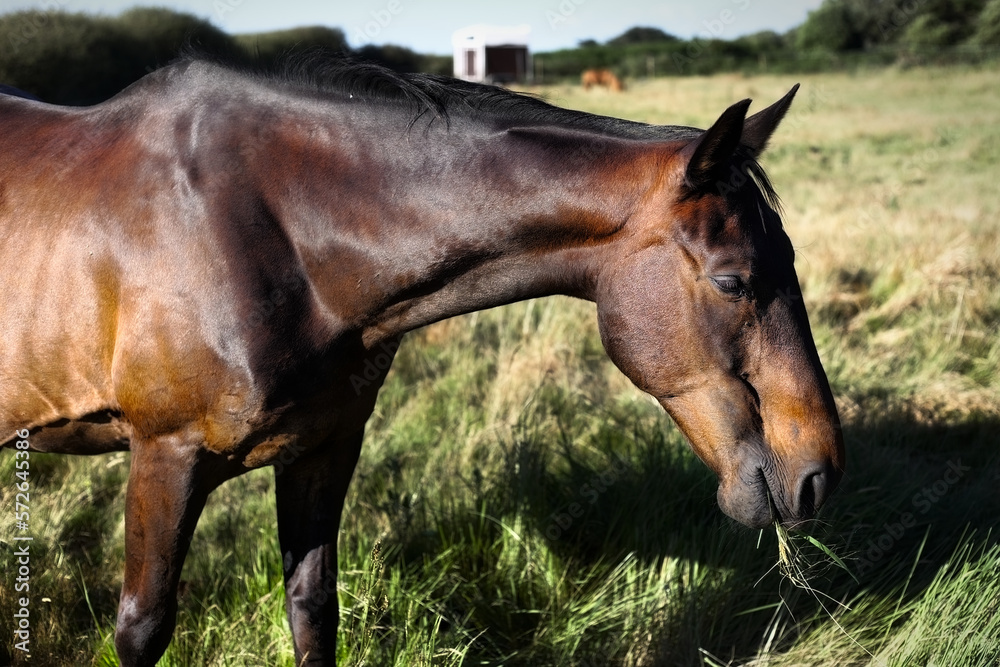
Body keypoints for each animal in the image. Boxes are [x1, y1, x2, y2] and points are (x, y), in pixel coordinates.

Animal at [0, 57, 844, 665]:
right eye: (733, 280)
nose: (818, 474)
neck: (274, 232)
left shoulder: (323, 448)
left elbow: (313, 610)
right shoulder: (165, 454)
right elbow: (143, 628)